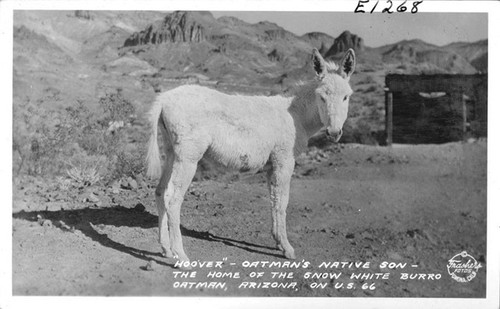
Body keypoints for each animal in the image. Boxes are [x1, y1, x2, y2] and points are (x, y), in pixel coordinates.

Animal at [146, 48, 358, 264]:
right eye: (321, 97)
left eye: (346, 97)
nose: (334, 133)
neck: (296, 115)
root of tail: (164, 99)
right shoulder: (284, 161)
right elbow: (282, 202)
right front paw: (287, 249)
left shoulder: (272, 166)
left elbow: (273, 201)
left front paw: (278, 242)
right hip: (188, 157)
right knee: (173, 199)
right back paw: (181, 257)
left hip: (172, 153)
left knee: (160, 192)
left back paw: (166, 249)